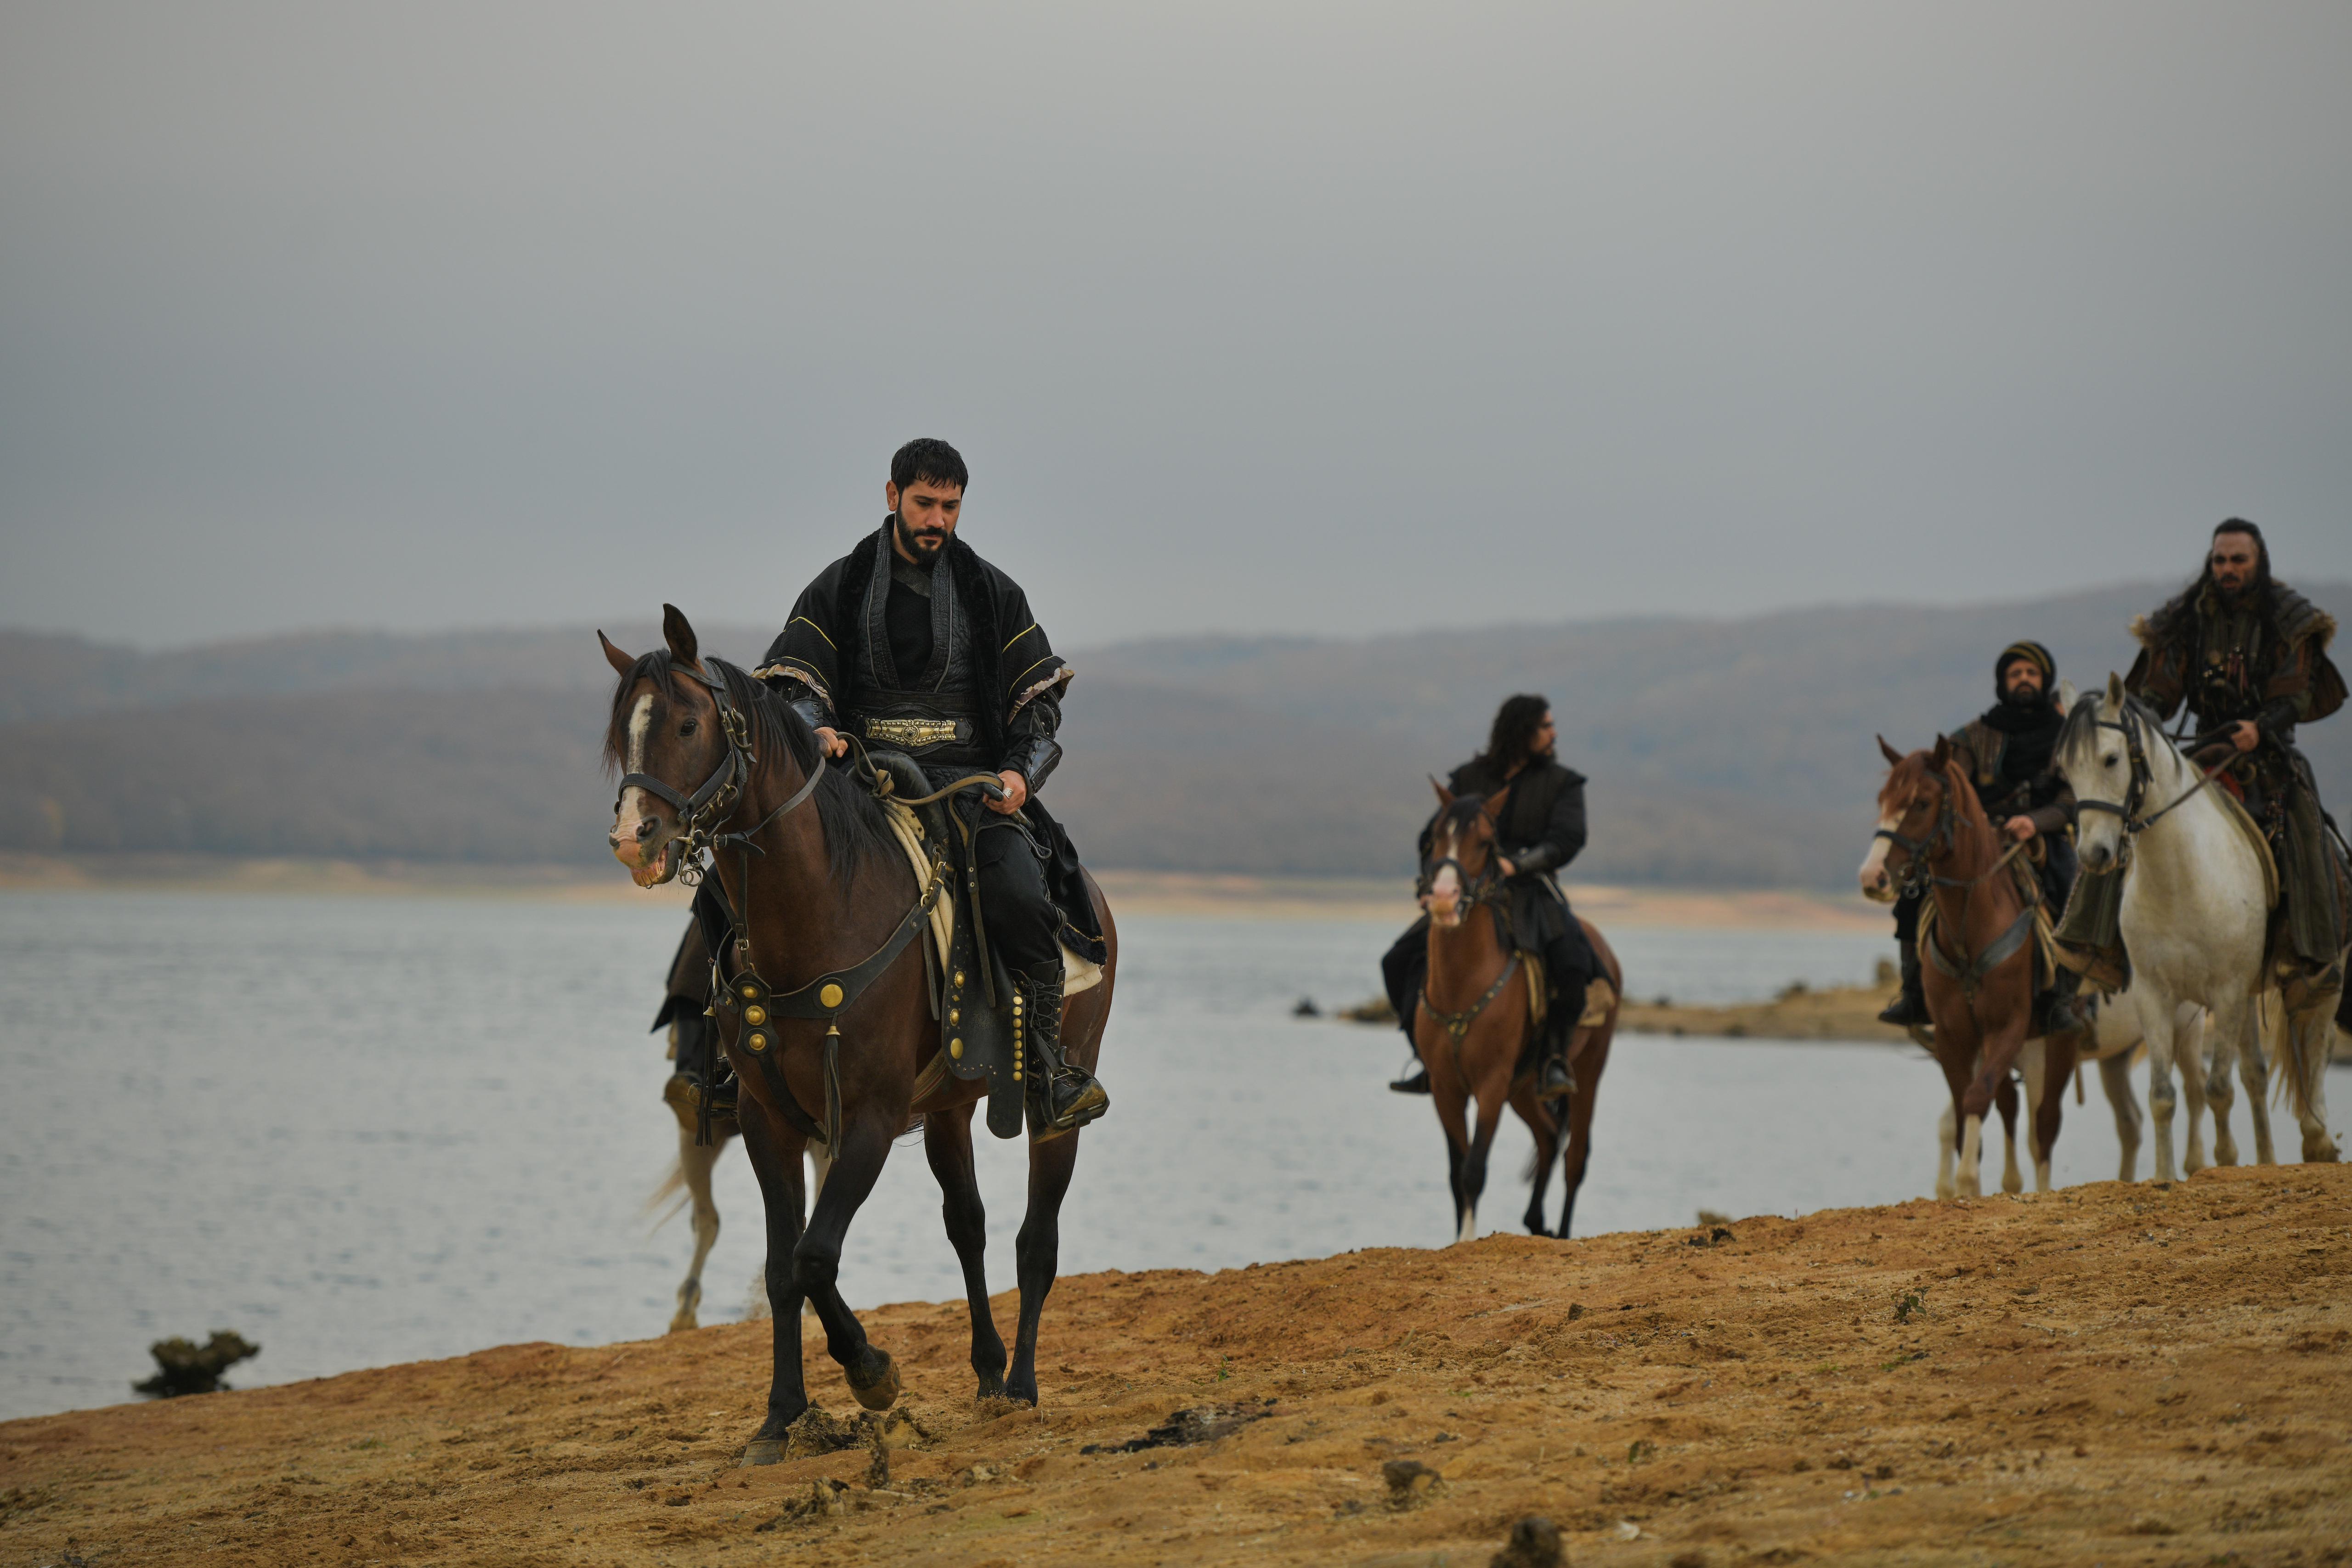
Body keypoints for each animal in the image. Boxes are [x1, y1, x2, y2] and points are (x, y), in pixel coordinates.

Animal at [606, 606, 1119, 1457]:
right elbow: (785, 1266)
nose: (634, 839)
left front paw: (873, 1372)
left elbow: (816, 1254)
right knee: (969, 1226)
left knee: (1035, 1239)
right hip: (948, 1107)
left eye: (685, 723)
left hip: (1057, 1110)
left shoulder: (871, 1118)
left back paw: (1019, 1383)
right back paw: (987, 1369)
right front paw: (781, 1415)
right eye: (622, 732)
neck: (819, 908)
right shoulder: (769, 1122)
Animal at [1411, 780, 1618, 1241]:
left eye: (1487, 843)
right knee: (1548, 1137)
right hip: (1523, 1087)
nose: (1445, 899)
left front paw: (1466, 1241)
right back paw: (1535, 1223)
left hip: (1588, 1072)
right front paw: (1457, 1238)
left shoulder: (1490, 1084)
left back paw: (1561, 1232)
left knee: (1575, 1159)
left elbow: (1474, 1170)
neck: (1462, 986)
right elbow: (1455, 1174)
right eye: (1433, 838)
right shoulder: (1446, 1089)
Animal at [1853, 743, 2079, 1194]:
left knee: (2044, 1124)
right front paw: (1965, 1184)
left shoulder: (2007, 1027)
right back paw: (2011, 1182)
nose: (1873, 876)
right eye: (1883, 800)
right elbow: (1965, 1108)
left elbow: (1978, 1098)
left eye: (1922, 803)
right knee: (2010, 1103)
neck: (1968, 931)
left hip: (2057, 1042)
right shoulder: (1953, 1036)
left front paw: (1968, 1182)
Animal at [2051, 682, 2324, 1184]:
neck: (2180, 878)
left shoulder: (2226, 992)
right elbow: (2163, 1096)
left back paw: (2314, 1144)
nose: (2094, 855)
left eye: (2111, 759)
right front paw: (2164, 1176)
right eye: (2066, 769)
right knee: (2255, 1074)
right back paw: (2266, 1157)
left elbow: (2218, 1089)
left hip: (2297, 985)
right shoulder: (2153, 995)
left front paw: (2224, 1163)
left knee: (2305, 1049)